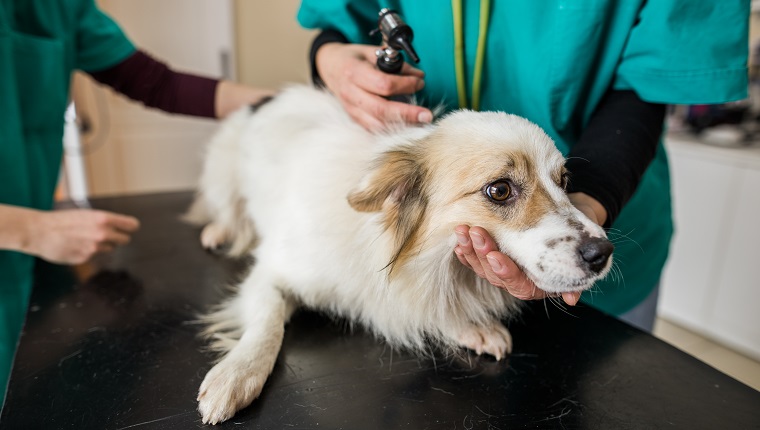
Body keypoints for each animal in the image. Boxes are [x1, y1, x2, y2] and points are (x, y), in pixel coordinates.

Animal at [190, 84, 612, 424]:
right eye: (500, 190)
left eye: (564, 182)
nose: (602, 252)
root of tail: (265, 98)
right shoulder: (274, 272)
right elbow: (267, 324)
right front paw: (237, 373)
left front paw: (469, 325)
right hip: (222, 178)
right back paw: (218, 231)